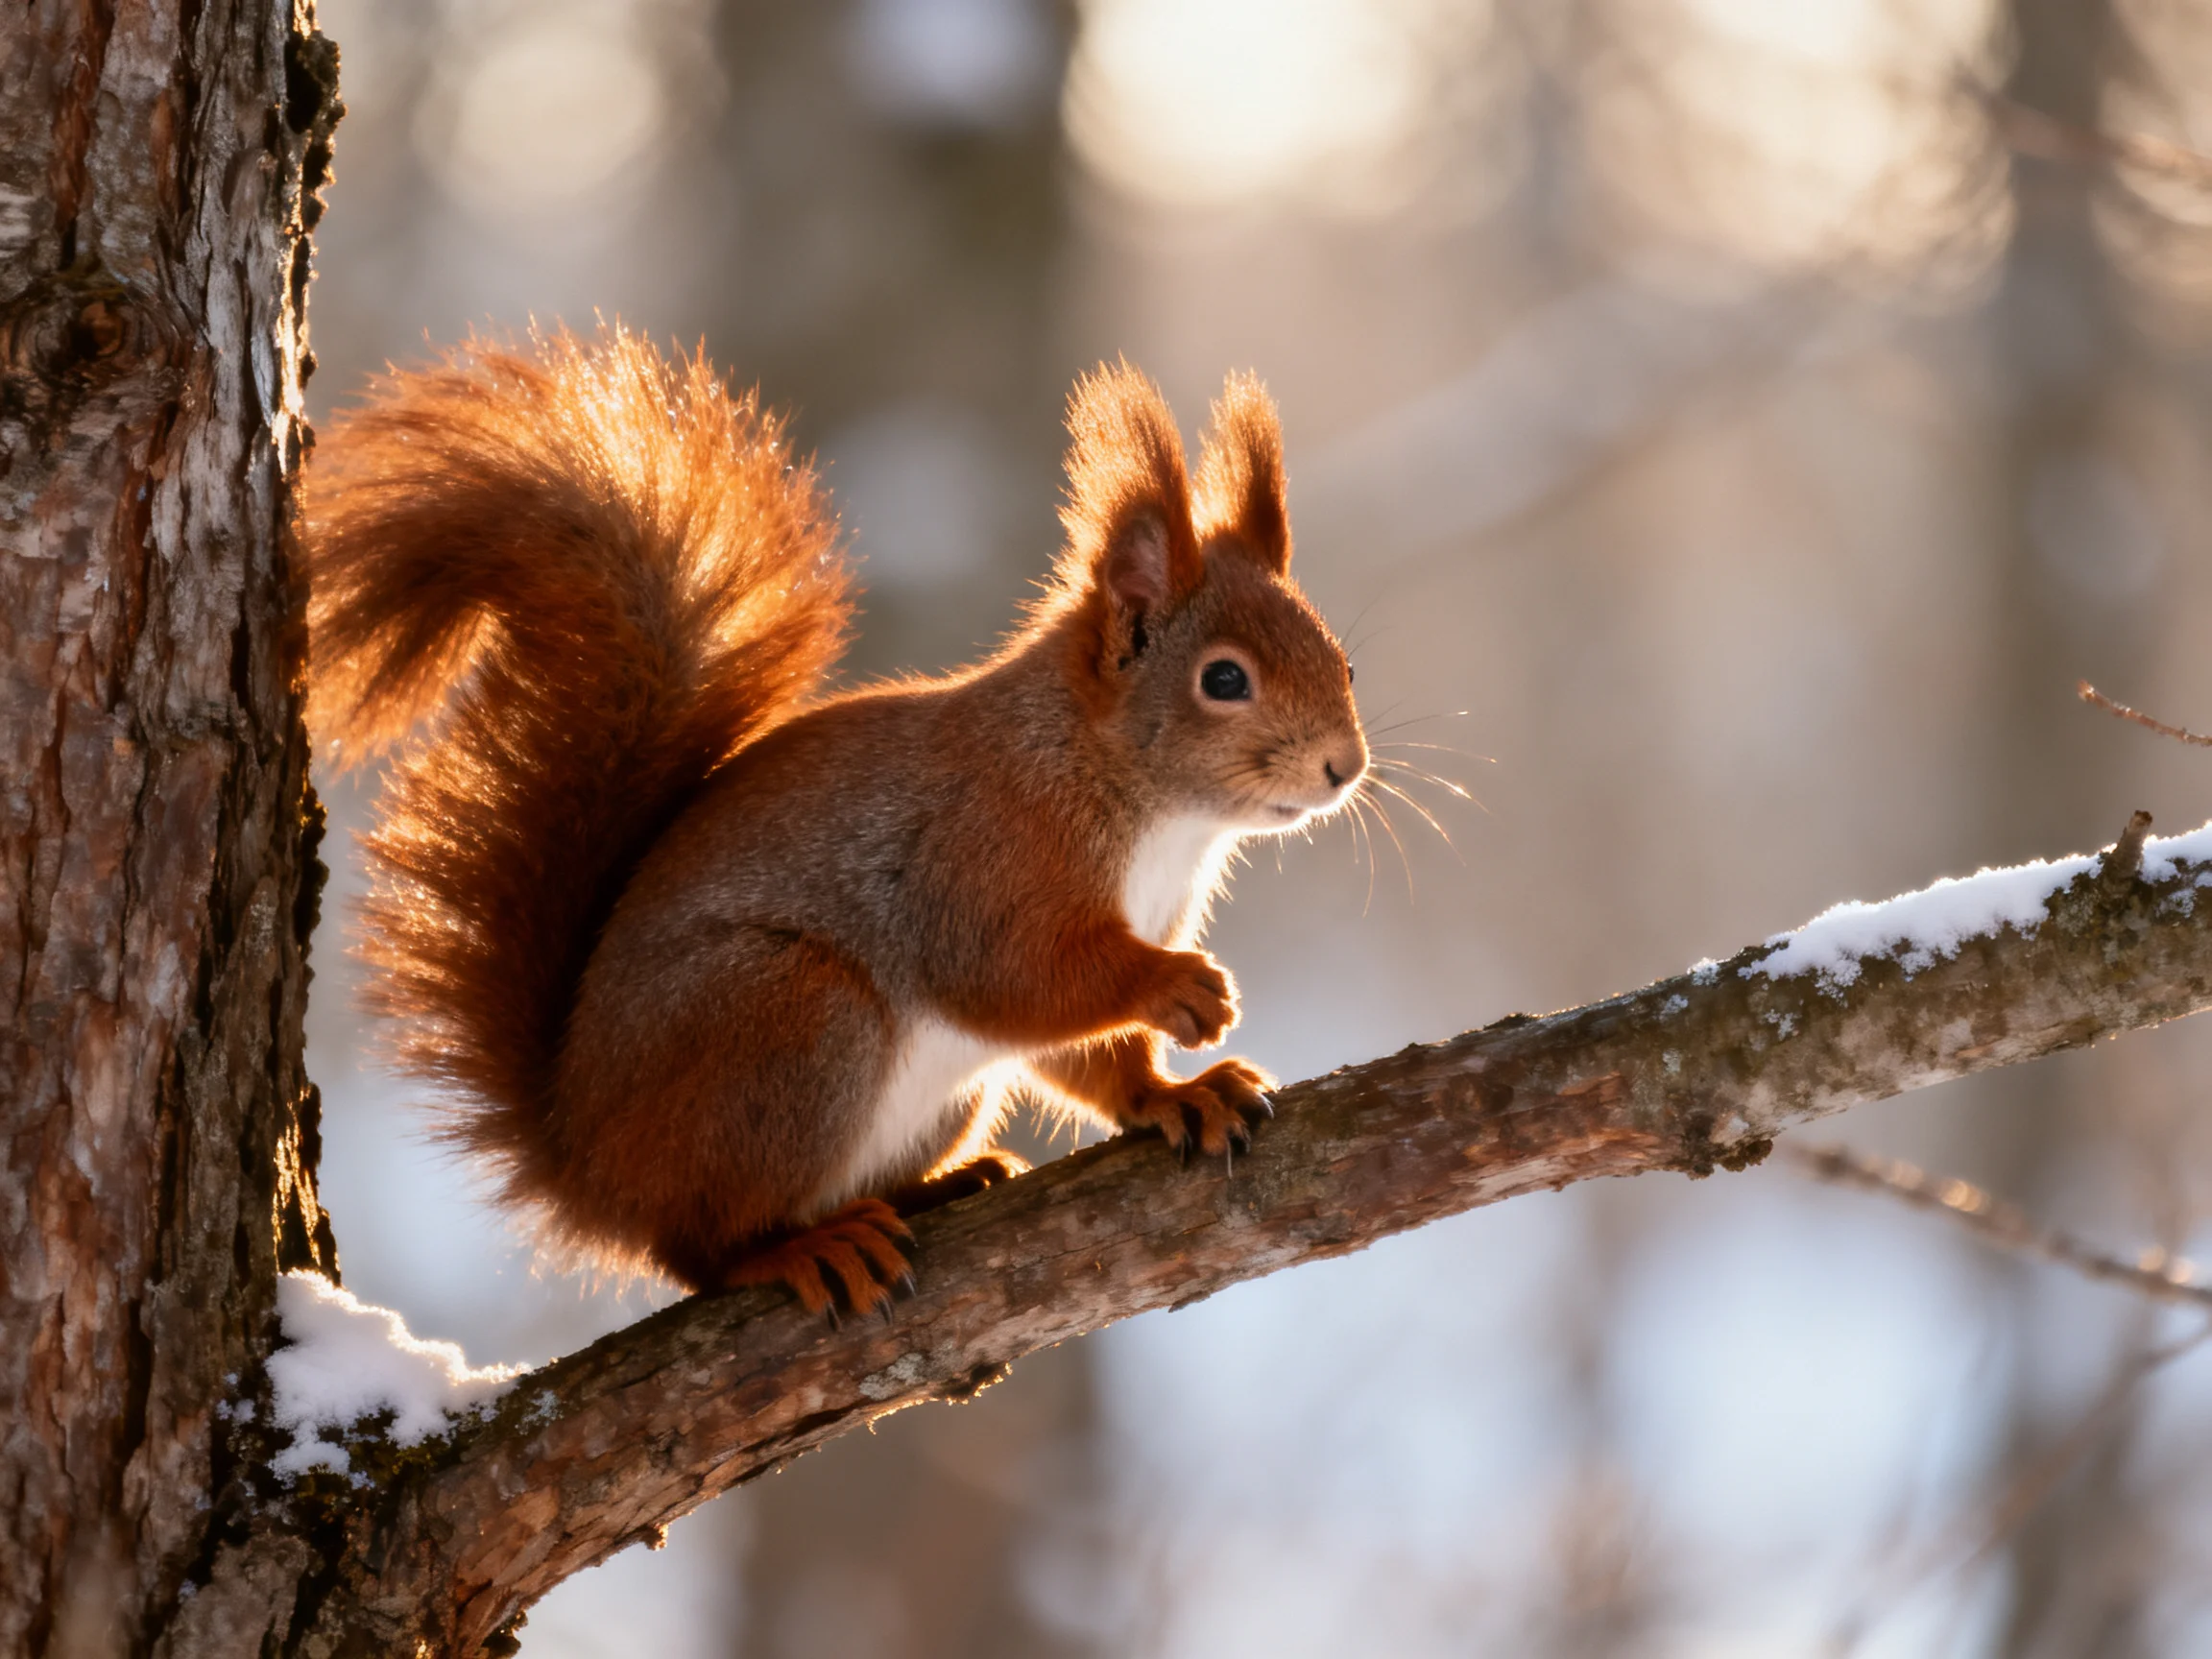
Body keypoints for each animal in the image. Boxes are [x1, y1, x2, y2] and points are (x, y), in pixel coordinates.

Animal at [304, 326, 1368, 1316]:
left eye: (1345, 662)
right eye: (1223, 680)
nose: (1344, 767)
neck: (1140, 802)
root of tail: (585, 1167)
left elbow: (1091, 1054)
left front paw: (1175, 1095)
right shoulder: (985, 853)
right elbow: (1018, 977)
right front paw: (1176, 987)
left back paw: (937, 1188)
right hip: (793, 1019)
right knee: (697, 1249)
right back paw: (802, 1247)